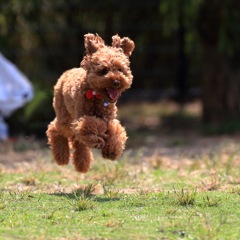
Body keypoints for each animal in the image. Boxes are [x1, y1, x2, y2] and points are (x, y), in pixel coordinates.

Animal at [46, 33, 134, 172]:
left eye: (120, 70)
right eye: (104, 70)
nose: (116, 82)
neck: (96, 96)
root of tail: (67, 72)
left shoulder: (108, 119)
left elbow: (115, 132)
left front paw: (111, 151)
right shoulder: (82, 116)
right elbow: (90, 125)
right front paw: (97, 139)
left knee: (78, 141)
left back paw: (82, 164)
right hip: (65, 114)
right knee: (56, 129)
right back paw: (62, 157)